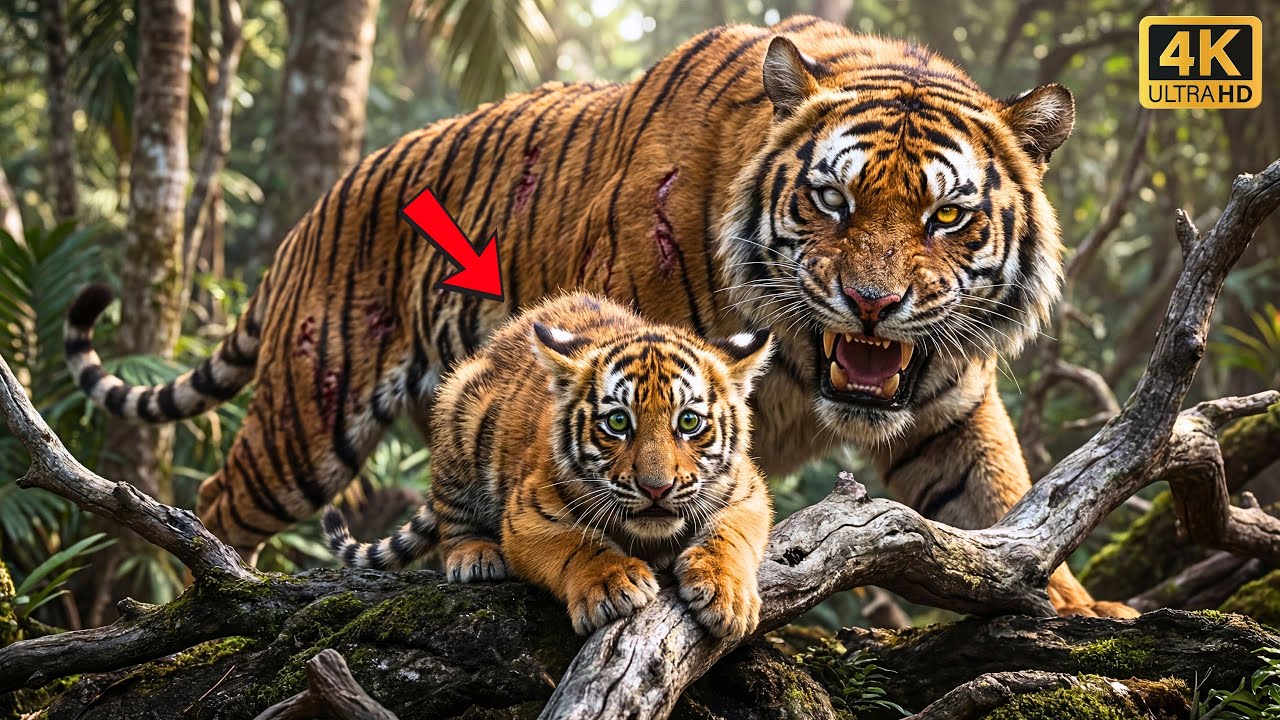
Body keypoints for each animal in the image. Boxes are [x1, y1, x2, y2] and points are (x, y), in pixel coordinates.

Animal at [321, 292, 774, 637]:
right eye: (618, 422)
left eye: (689, 422)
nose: (655, 488)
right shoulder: (527, 515)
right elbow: (579, 544)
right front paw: (613, 584)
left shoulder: (749, 492)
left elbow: (728, 536)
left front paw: (728, 596)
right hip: (458, 406)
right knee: (454, 519)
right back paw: (474, 557)